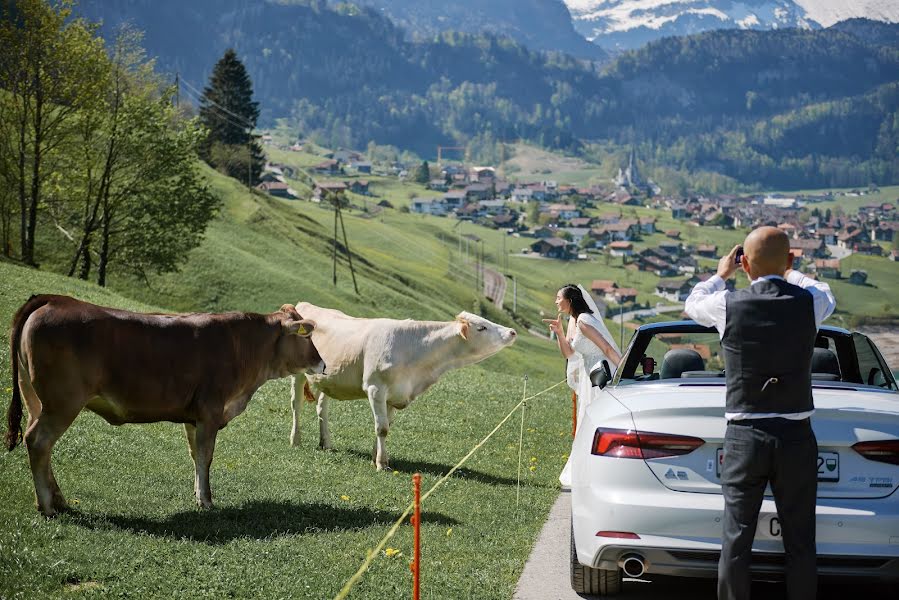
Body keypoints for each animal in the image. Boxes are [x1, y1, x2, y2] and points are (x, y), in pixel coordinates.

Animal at [5, 296, 326, 516]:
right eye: (307, 337)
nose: (323, 364)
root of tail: (55, 299)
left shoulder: (193, 416)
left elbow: (196, 456)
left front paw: (198, 494)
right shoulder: (210, 411)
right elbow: (206, 456)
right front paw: (206, 500)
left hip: (35, 399)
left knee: (40, 444)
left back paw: (56, 499)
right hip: (63, 402)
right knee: (38, 441)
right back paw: (47, 506)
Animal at [288, 304, 512, 468]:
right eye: (482, 327)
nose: (512, 331)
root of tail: (304, 305)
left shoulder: (395, 395)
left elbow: (385, 426)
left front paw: (376, 457)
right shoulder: (375, 388)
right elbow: (382, 428)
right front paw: (382, 464)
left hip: (328, 380)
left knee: (322, 408)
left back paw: (325, 443)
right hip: (298, 374)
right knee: (296, 405)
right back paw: (295, 440)